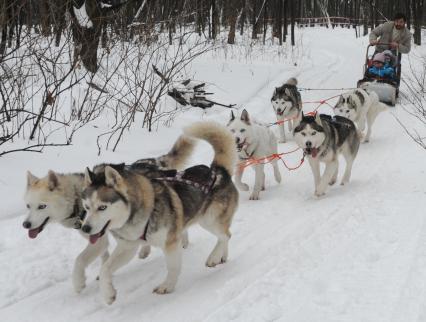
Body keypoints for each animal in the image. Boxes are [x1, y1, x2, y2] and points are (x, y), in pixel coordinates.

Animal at [22, 136, 193, 294]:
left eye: (42, 206)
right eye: (28, 206)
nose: (25, 224)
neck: (77, 199)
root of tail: (153, 162)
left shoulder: (98, 240)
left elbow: (80, 260)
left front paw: (79, 283)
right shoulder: (96, 236)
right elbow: (104, 256)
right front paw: (101, 274)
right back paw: (148, 248)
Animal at [81, 121, 238, 304]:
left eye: (102, 207)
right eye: (86, 207)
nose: (85, 228)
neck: (142, 213)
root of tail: (218, 171)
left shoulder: (170, 243)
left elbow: (173, 267)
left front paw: (167, 286)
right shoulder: (128, 247)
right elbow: (105, 269)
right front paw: (108, 294)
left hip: (209, 220)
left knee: (225, 235)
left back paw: (213, 257)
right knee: (225, 236)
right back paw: (221, 256)